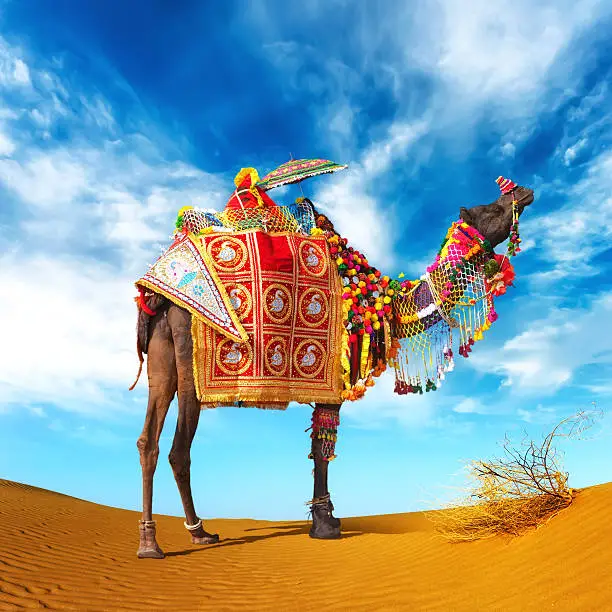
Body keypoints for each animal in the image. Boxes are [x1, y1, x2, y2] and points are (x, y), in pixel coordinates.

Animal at [129, 164, 532, 560]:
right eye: (490, 208)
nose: (522, 190)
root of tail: (158, 290)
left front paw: (325, 519)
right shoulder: (333, 381)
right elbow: (323, 450)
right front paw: (325, 525)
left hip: (162, 356)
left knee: (148, 440)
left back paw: (165, 538)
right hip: (190, 361)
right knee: (179, 449)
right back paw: (177, 539)